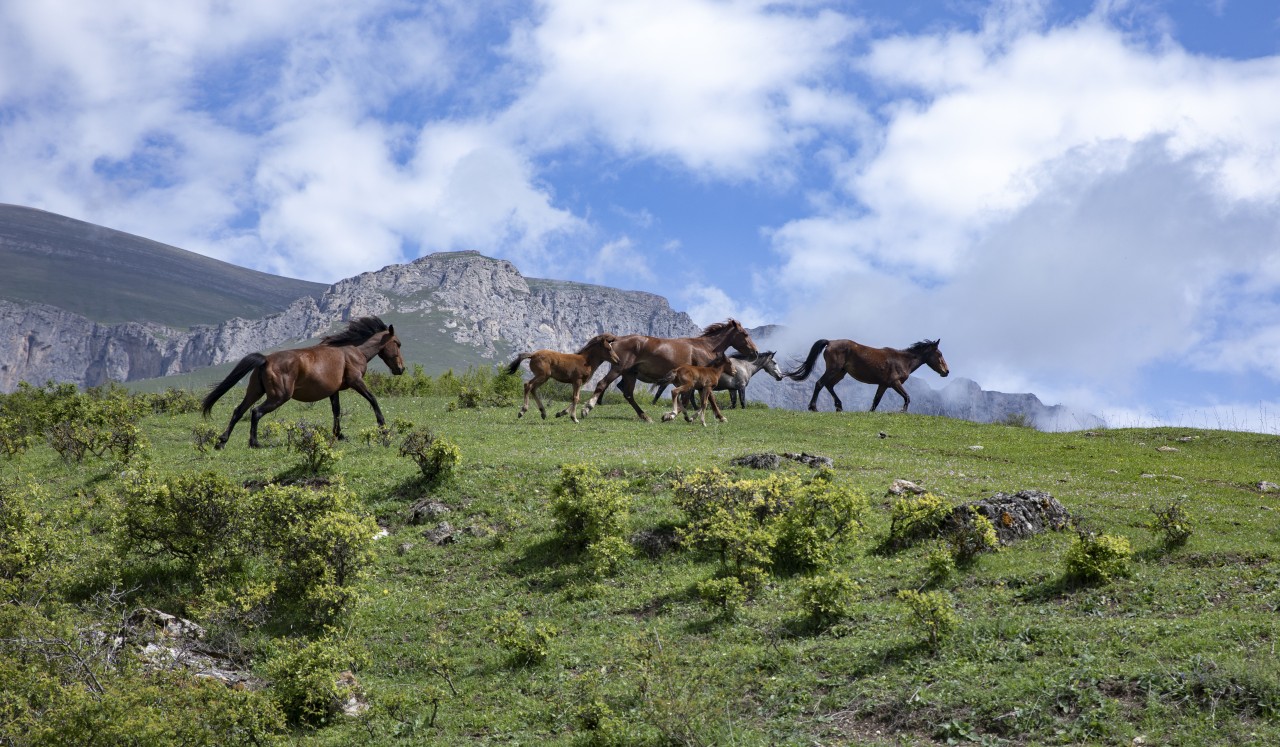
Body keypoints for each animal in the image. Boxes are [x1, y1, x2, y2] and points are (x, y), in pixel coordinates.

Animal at [200, 317, 404, 450]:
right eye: (398, 343)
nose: (401, 369)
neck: (353, 351)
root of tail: (265, 360)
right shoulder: (356, 381)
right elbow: (373, 400)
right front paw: (383, 429)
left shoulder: (334, 391)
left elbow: (336, 411)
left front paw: (339, 435)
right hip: (278, 397)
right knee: (255, 412)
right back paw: (255, 443)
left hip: (255, 392)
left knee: (238, 411)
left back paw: (222, 442)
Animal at [583, 318, 757, 419]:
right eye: (745, 334)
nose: (755, 352)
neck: (704, 347)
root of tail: (618, 338)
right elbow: (702, 398)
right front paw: (673, 415)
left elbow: (700, 398)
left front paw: (718, 417)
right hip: (619, 369)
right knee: (602, 384)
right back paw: (587, 408)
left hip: (630, 374)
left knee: (628, 394)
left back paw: (645, 416)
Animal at [778, 337, 952, 414]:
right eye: (939, 354)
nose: (946, 371)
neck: (903, 360)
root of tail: (830, 342)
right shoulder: (894, 383)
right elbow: (907, 397)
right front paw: (902, 411)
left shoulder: (883, 385)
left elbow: (876, 401)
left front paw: (871, 412)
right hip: (834, 370)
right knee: (820, 384)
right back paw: (813, 407)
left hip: (841, 373)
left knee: (829, 385)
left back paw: (839, 406)